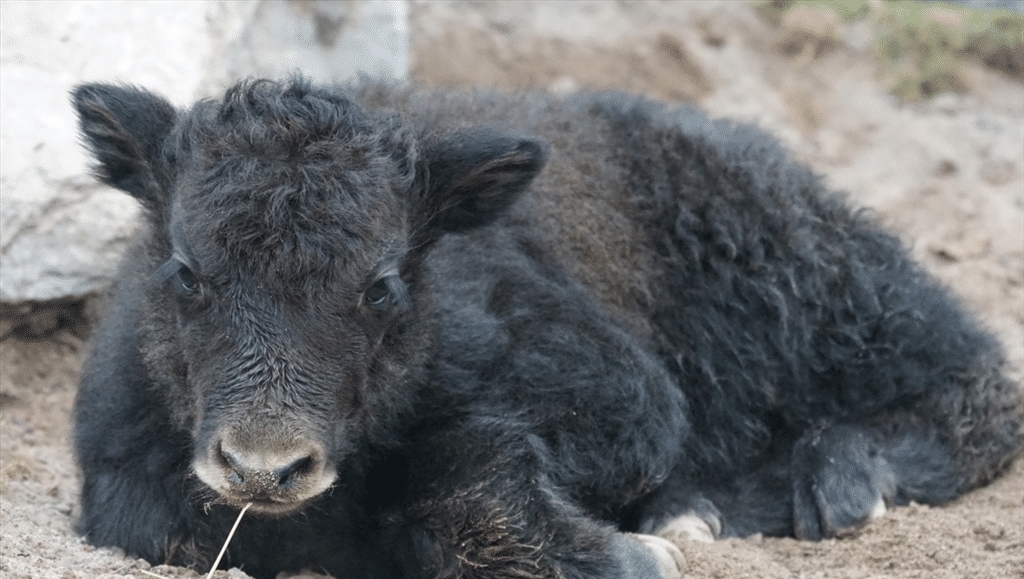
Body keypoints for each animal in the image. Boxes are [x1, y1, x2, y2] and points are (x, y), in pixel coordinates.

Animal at [72, 77, 1024, 577]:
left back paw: (837, 480)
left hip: (821, 296)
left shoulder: (618, 394)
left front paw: (637, 553)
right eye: (186, 271)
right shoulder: (124, 479)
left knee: (971, 382)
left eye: (382, 285)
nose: (263, 466)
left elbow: (470, 466)